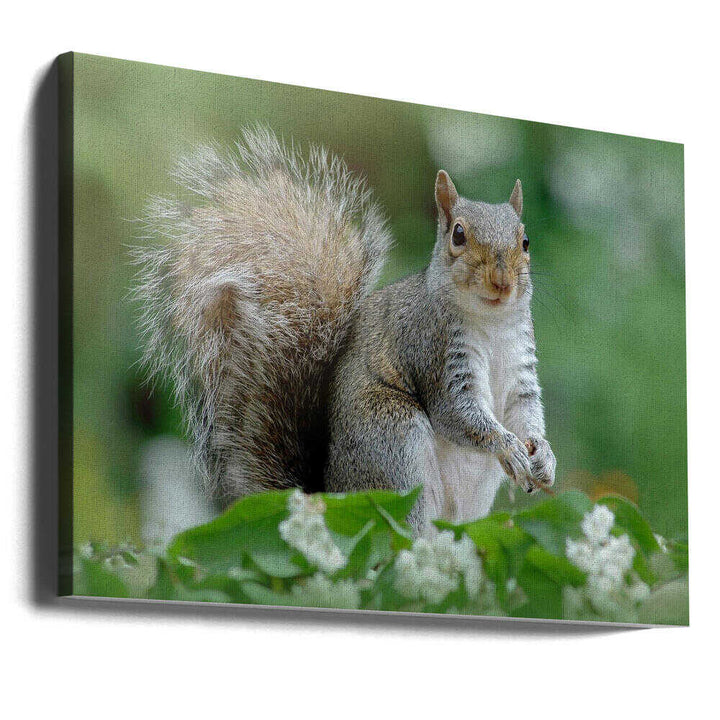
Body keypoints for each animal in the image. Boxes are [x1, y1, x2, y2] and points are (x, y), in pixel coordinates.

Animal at [134, 127, 555, 531]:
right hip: (392, 443)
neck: (491, 324)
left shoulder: (521, 367)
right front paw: (508, 446)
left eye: (525, 241)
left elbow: (526, 410)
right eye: (458, 234)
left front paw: (544, 457)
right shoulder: (433, 351)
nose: (502, 282)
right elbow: (458, 414)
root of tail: (329, 497)